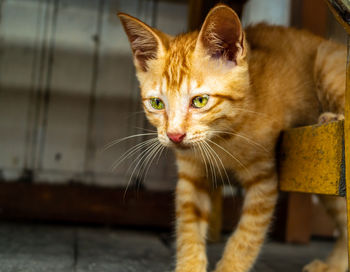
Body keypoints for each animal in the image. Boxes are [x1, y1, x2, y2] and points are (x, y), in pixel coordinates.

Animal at [118, 4, 348, 272]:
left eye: (200, 101)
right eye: (157, 103)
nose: (175, 135)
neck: (220, 140)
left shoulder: (263, 179)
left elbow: (247, 235)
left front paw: (230, 266)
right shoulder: (191, 177)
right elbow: (188, 230)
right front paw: (189, 265)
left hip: (326, 63)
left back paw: (332, 117)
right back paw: (334, 265)